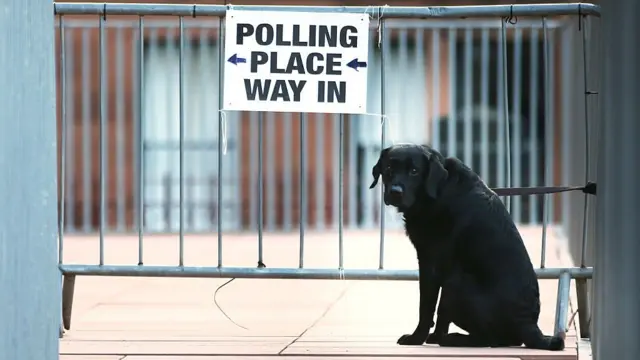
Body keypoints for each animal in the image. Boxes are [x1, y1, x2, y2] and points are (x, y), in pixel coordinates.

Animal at [370, 143, 564, 348]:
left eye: (414, 171)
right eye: (388, 169)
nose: (395, 191)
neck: (439, 189)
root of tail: (528, 324)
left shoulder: (432, 263)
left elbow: (427, 307)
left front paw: (417, 338)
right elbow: (440, 313)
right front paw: (433, 336)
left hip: (457, 282)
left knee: (491, 339)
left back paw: (452, 339)